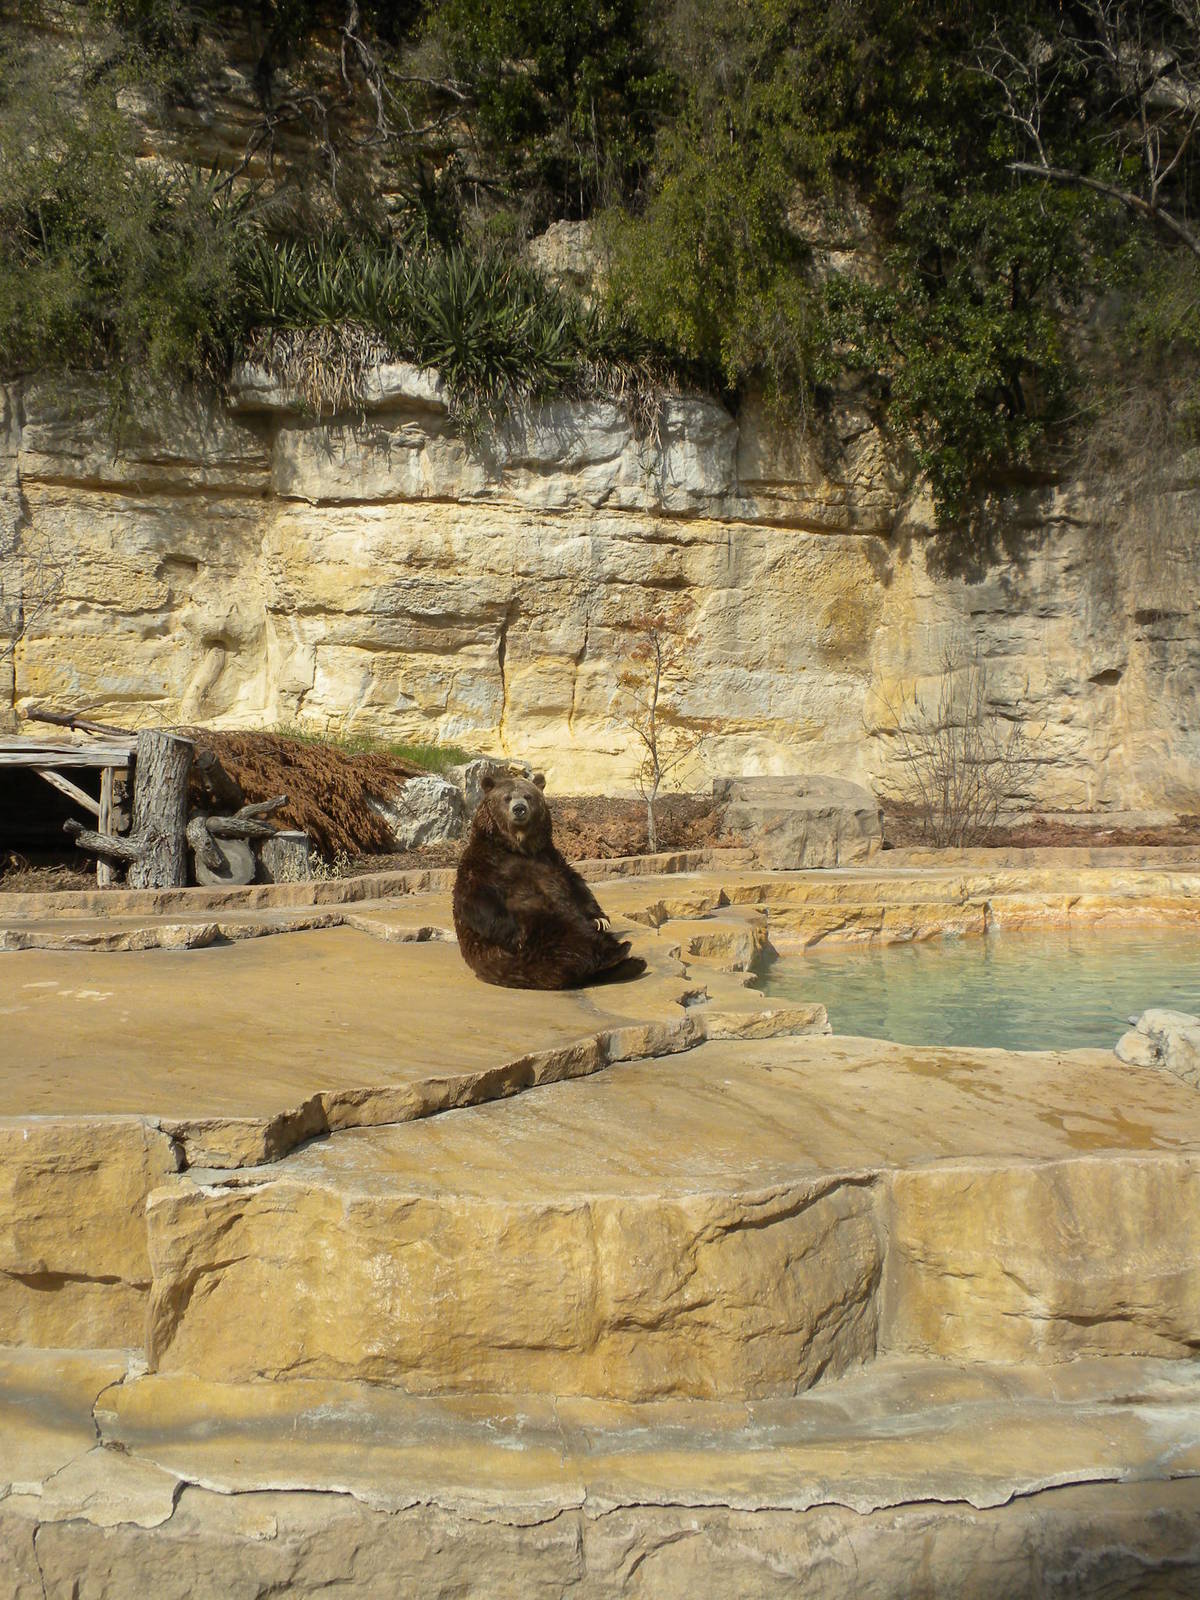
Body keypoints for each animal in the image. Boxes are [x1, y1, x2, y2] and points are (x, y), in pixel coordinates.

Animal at [452, 770, 646, 990]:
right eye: (507, 797)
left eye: (528, 796)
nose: (519, 809)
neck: (518, 847)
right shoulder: (485, 863)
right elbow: (476, 900)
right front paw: (514, 935)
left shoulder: (550, 858)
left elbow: (576, 884)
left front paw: (600, 919)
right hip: (533, 939)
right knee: (566, 940)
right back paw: (616, 954)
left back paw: (627, 958)